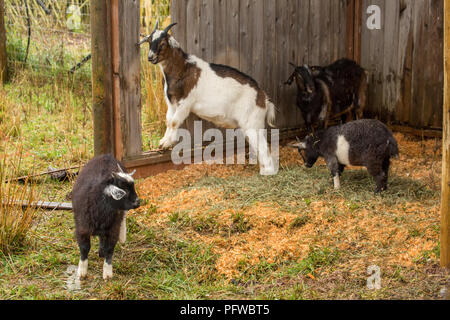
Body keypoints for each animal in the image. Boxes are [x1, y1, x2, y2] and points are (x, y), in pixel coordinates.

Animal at [138, 21, 278, 176]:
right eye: (150, 41)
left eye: (162, 43)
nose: (150, 57)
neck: (182, 69)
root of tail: (263, 97)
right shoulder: (172, 103)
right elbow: (169, 121)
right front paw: (163, 142)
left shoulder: (185, 103)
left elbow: (174, 122)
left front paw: (169, 142)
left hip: (252, 123)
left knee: (262, 145)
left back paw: (267, 172)